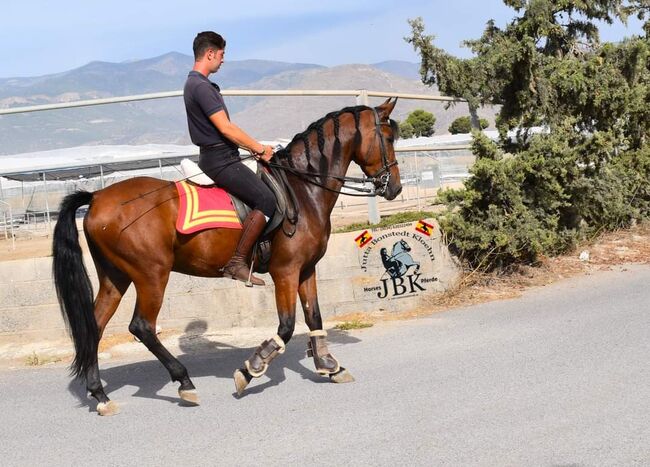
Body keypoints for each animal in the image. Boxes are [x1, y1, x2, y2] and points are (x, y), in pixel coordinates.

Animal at [53, 97, 400, 414]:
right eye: (389, 138)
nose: (394, 187)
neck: (302, 189)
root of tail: (97, 196)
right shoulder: (285, 271)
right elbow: (286, 326)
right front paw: (251, 369)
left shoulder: (306, 269)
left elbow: (314, 317)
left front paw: (330, 365)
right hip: (152, 275)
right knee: (141, 327)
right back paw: (184, 382)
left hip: (116, 277)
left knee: (94, 327)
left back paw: (100, 395)